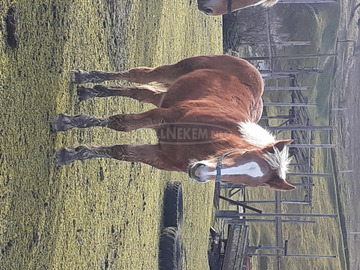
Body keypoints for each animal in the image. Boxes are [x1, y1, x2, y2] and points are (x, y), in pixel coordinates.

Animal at [54, 54, 296, 190]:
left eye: (245, 182)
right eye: (243, 153)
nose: (199, 171)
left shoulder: (159, 156)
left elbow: (120, 151)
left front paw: (73, 153)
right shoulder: (162, 116)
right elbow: (121, 123)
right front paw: (68, 122)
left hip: (166, 92)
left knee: (138, 91)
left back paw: (91, 91)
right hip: (173, 71)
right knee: (137, 75)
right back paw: (86, 78)